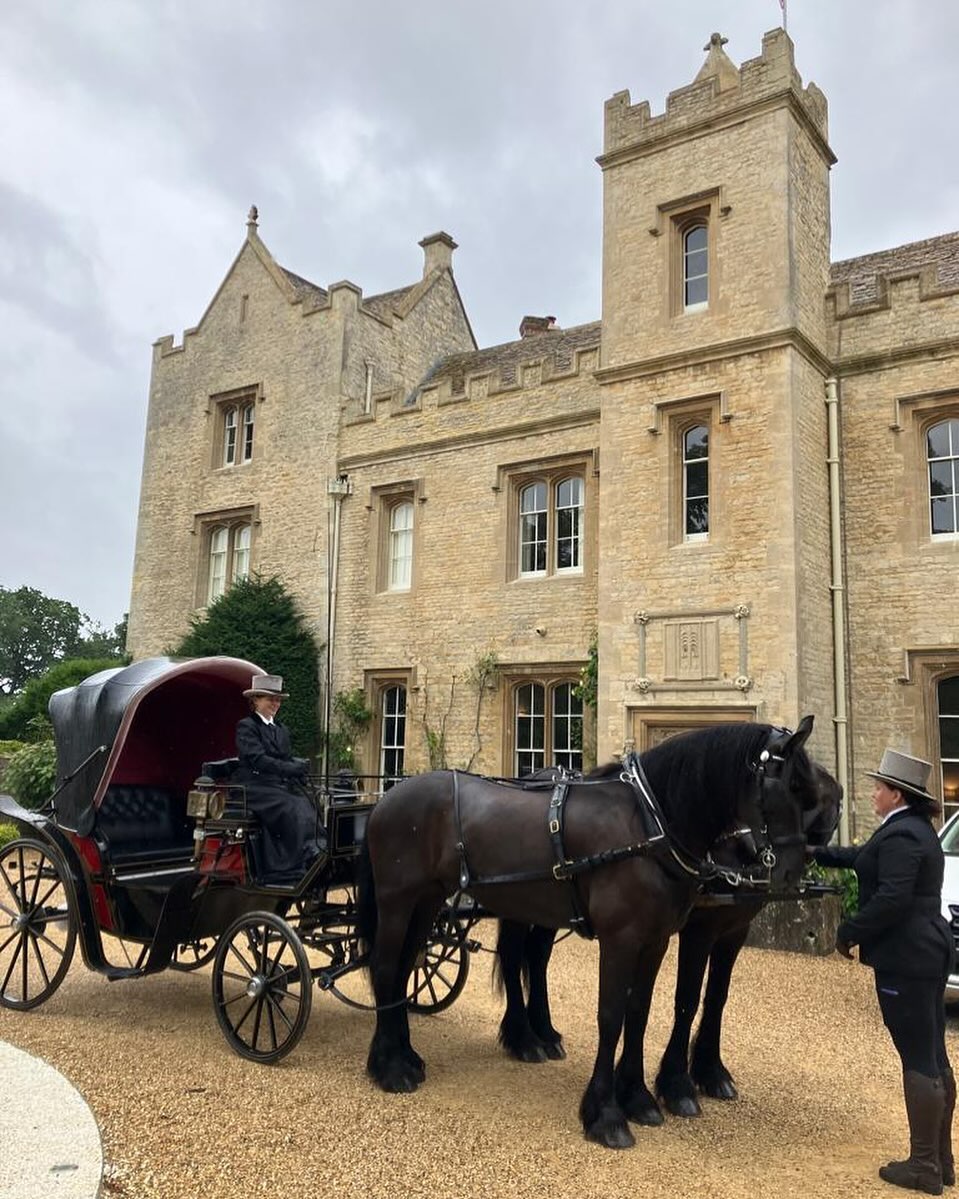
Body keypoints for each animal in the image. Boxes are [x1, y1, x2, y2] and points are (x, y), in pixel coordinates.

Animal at [494, 760, 843, 1118]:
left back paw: (544, 1032)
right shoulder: (699, 931)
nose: (752, 850)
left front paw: (709, 1071)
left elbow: (716, 998)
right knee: (513, 957)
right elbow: (687, 1000)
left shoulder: (733, 932)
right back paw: (524, 1038)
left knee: (537, 956)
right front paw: (677, 1083)